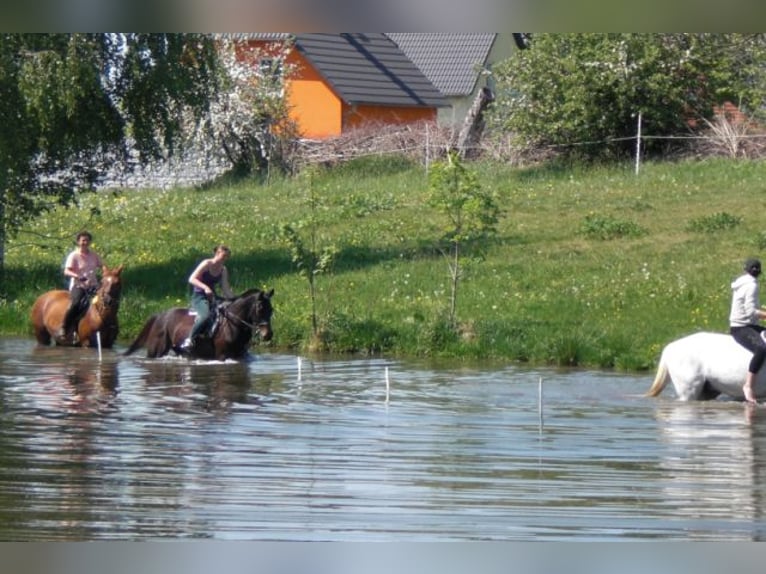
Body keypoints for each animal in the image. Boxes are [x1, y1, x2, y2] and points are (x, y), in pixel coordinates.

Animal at [127, 290, 278, 362]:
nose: (268, 334)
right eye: (260, 309)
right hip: (156, 350)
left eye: (271, 309)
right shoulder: (222, 356)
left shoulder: (241, 356)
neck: (233, 324)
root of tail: (160, 315)